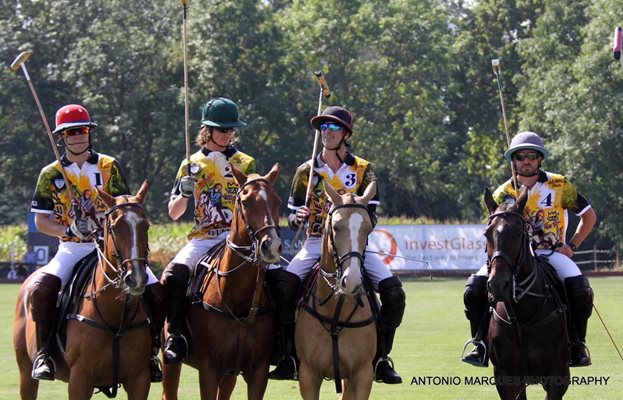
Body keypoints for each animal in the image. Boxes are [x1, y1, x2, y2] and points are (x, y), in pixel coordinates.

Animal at [14, 181, 154, 400]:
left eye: (146, 226)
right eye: (114, 228)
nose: (136, 278)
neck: (115, 317)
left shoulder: (139, 378)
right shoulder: (80, 378)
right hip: (25, 369)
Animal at [163, 163, 286, 400]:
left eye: (277, 201)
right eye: (245, 202)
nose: (272, 246)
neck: (239, 300)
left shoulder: (258, 371)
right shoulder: (209, 369)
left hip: (230, 374)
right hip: (170, 360)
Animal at [294, 181, 378, 400]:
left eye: (368, 228)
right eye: (336, 227)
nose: (352, 281)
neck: (335, 311)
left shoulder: (362, 374)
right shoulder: (308, 375)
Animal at [486, 188, 572, 400]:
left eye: (518, 233)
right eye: (486, 233)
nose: (498, 285)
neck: (522, 316)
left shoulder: (559, 374)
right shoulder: (505, 375)